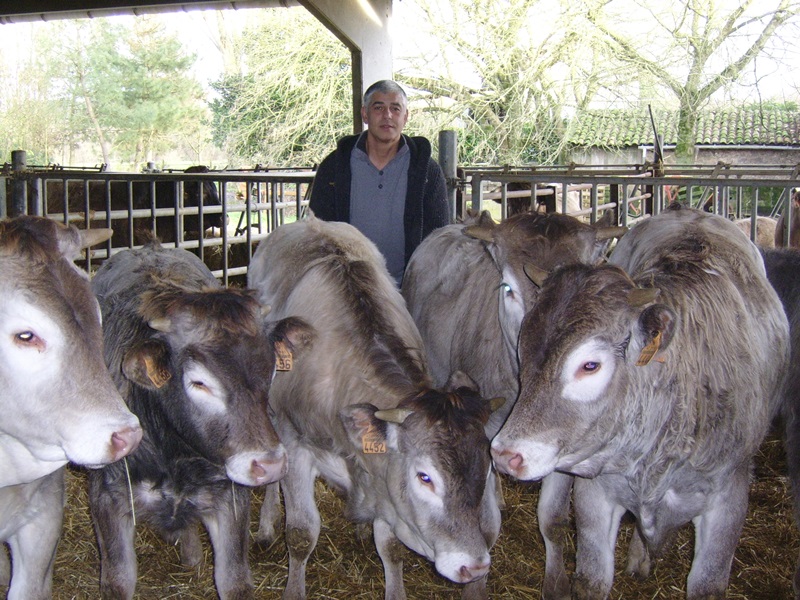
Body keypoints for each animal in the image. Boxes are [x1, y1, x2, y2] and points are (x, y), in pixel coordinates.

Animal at [87, 242, 305, 600]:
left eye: (272, 368)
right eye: (199, 382)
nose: (270, 465)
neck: (173, 453)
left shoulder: (229, 496)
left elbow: (234, 581)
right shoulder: (107, 497)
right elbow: (117, 581)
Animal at [247, 216, 504, 600]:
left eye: (487, 468)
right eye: (424, 477)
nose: (474, 565)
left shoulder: (384, 476)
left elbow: (391, 546)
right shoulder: (297, 445)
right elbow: (302, 534)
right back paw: (266, 524)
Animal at [491, 204, 790, 599]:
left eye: (590, 365)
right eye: (523, 349)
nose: (504, 454)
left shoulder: (730, 497)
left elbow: (706, 584)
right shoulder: (595, 494)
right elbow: (591, 579)